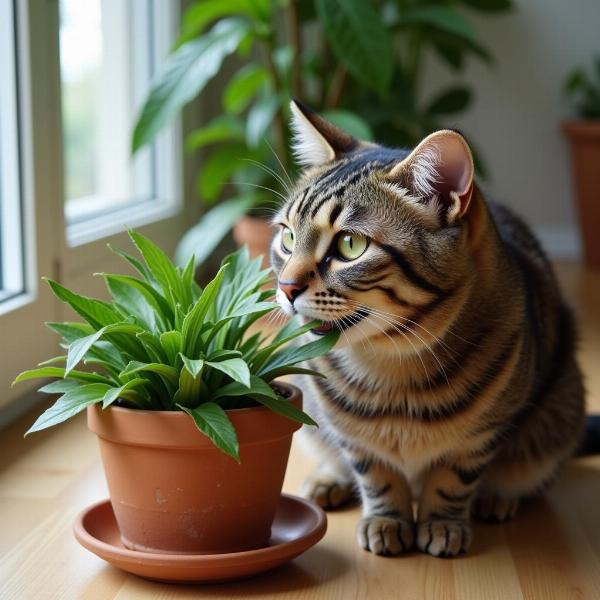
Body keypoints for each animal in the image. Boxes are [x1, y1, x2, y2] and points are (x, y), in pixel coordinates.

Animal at [270, 99, 584, 556]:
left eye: (350, 245)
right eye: (288, 238)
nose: (286, 286)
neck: (391, 365)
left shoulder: (481, 437)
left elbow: (452, 479)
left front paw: (442, 524)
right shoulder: (351, 436)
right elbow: (375, 473)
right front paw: (386, 520)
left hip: (558, 414)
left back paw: (497, 497)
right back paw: (328, 480)